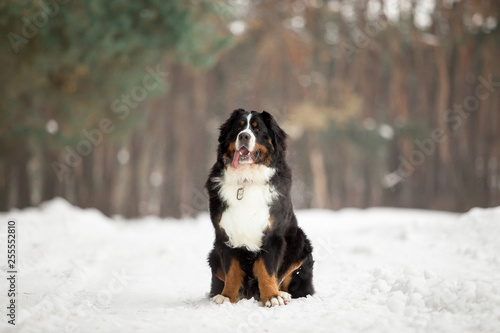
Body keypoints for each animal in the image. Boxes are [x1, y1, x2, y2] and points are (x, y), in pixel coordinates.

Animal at [205, 108, 314, 306]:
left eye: (257, 129)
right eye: (238, 127)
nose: (244, 136)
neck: (246, 180)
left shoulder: (272, 234)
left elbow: (267, 269)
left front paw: (272, 296)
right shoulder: (225, 235)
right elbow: (232, 271)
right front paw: (227, 296)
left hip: (300, 241)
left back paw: (283, 294)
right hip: (213, 255)